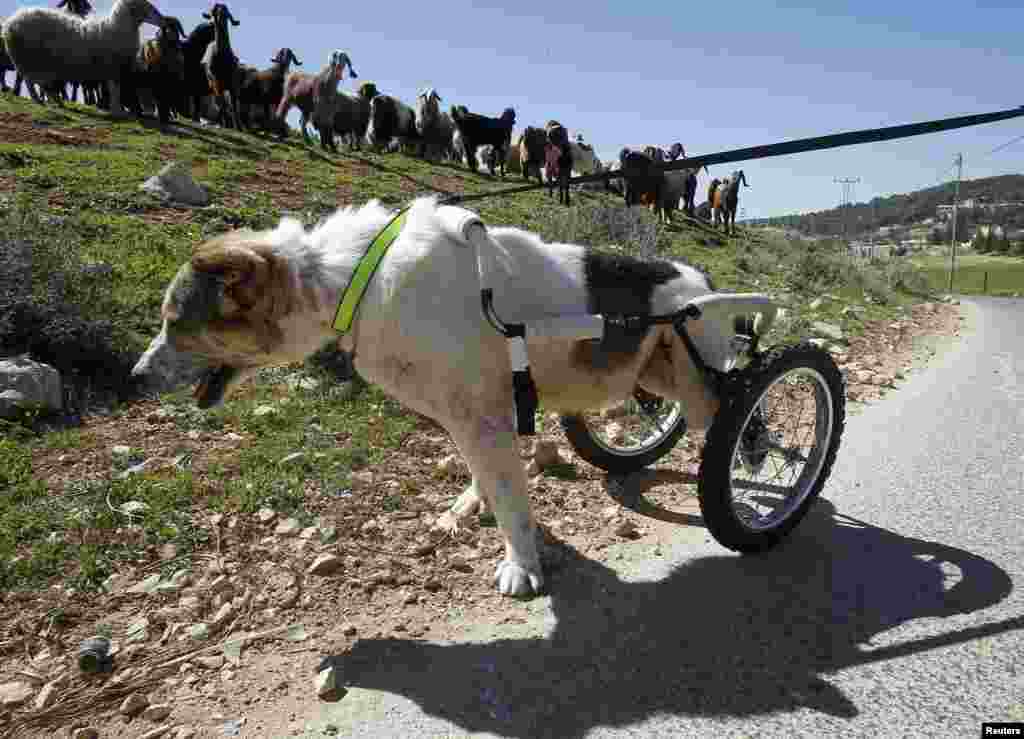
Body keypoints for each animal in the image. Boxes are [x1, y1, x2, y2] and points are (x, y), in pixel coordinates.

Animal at [132, 197, 724, 597]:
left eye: (175, 322)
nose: (134, 375)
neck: (355, 279)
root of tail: (702, 280)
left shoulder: (482, 418)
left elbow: (511, 500)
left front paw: (522, 564)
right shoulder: (472, 416)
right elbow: (487, 479)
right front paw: (470, 507)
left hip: (693, 383)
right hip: (659, 378)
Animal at [202, 2, 244, 130]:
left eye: (226, 14)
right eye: (214, 12)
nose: (219, 20)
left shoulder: (233, 84)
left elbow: (234, 105)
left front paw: (239, 127)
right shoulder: (217, 83)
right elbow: (223, 104)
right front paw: (226, 123)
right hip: (213, 85)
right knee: (220, 103)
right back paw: (223, 122)